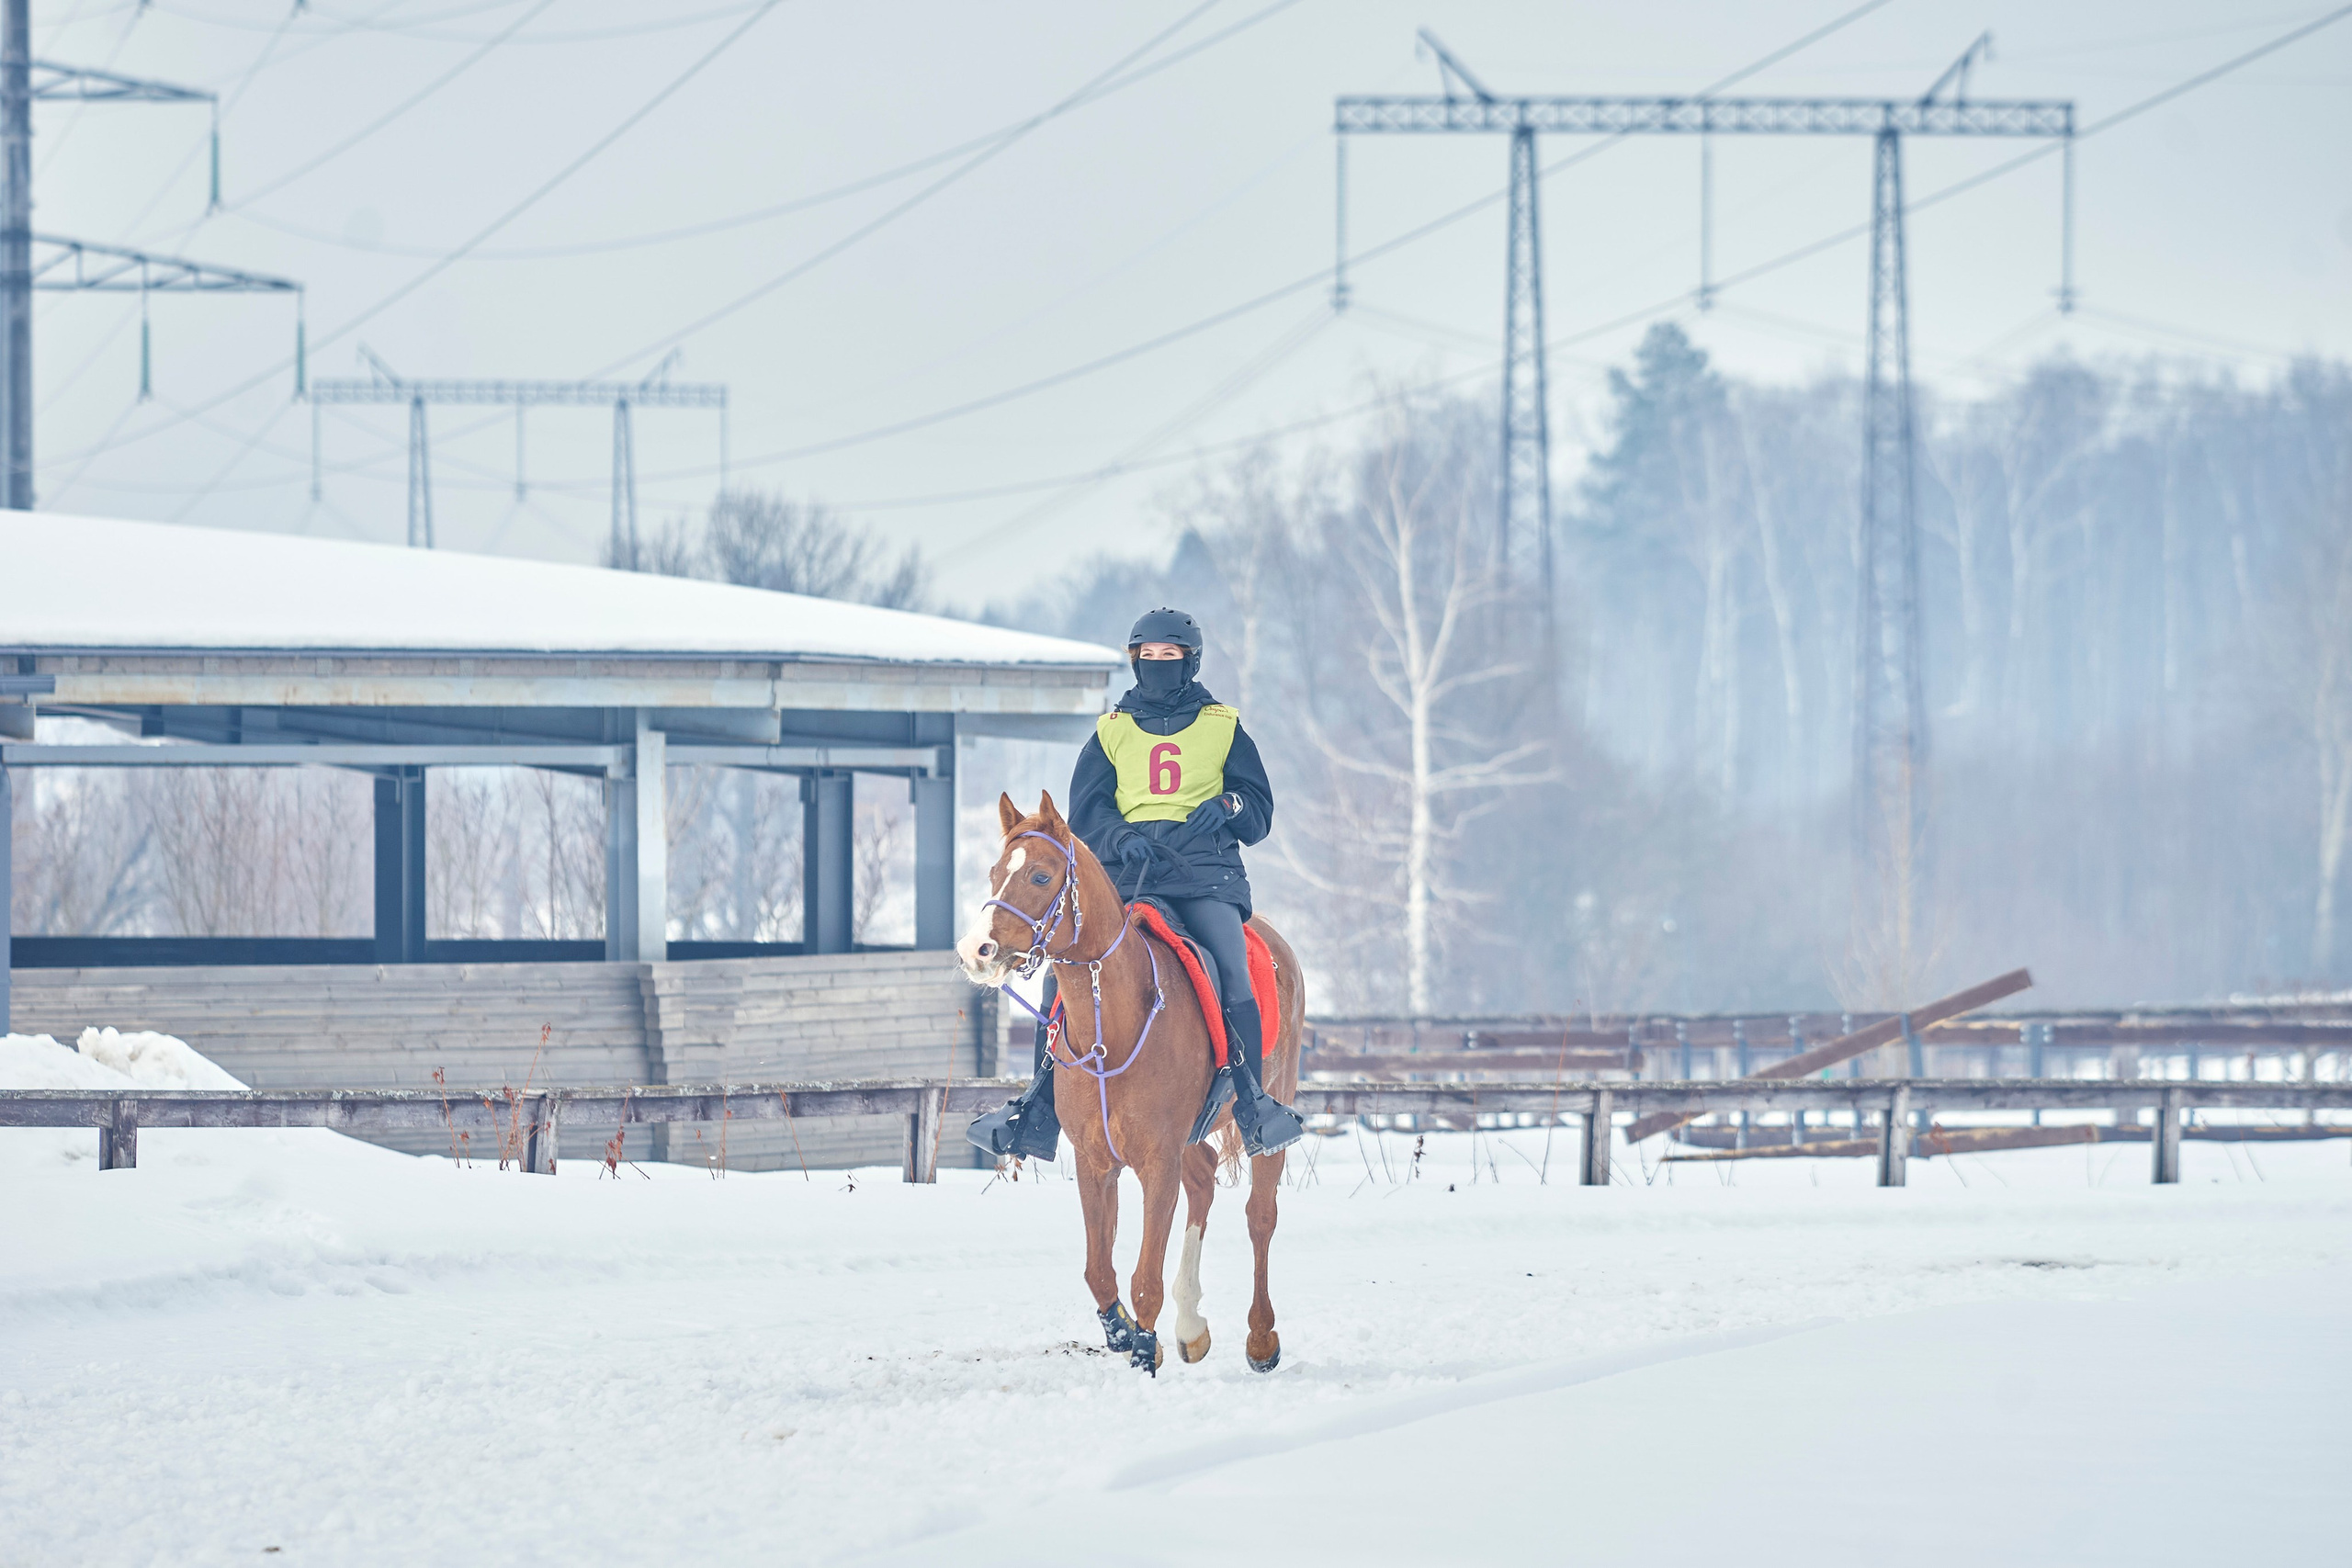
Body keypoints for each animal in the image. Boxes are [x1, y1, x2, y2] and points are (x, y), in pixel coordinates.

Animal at [956, 790, 1304, 1374]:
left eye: (1041, 877)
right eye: (994, 874)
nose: (975, 950)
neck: (1111, 1025)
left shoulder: (1157, 1162)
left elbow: (1145, 1278)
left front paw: (1144, 1346)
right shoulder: (1097, 1162)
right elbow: (1099, 1270)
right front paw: (1123, 1331)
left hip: (1270, 1109)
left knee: (1261, 1215)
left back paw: (1261, 1338)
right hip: (1189, 1137)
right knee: (1204, 1178)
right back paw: (1190, 1326)